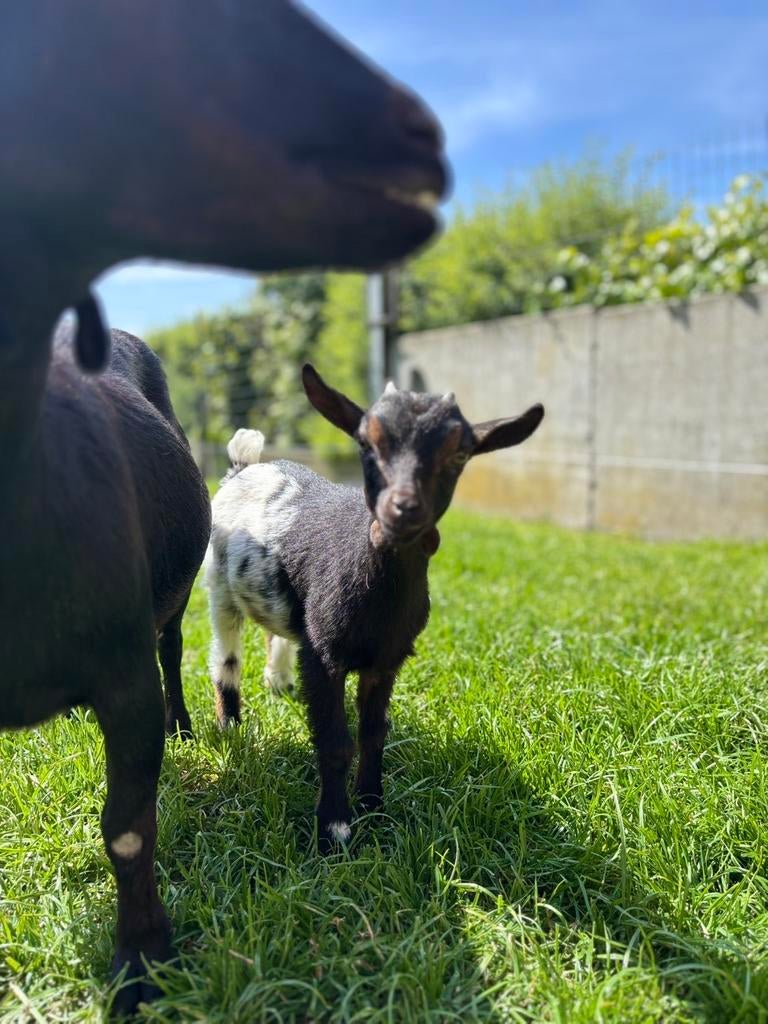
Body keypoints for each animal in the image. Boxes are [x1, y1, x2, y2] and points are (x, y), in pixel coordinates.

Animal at [205, 366, 544, 850]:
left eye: (460, 453)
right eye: (366, 442)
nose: (404, 508)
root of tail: (244, 466)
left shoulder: (387, 660)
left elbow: (372, 734)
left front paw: (373, 806)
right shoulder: (324, 654)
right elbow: (334, 742)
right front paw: (334, 830)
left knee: (278, 632)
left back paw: (280, 682)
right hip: (219, 587)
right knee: (226, 657)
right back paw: (231, 724)